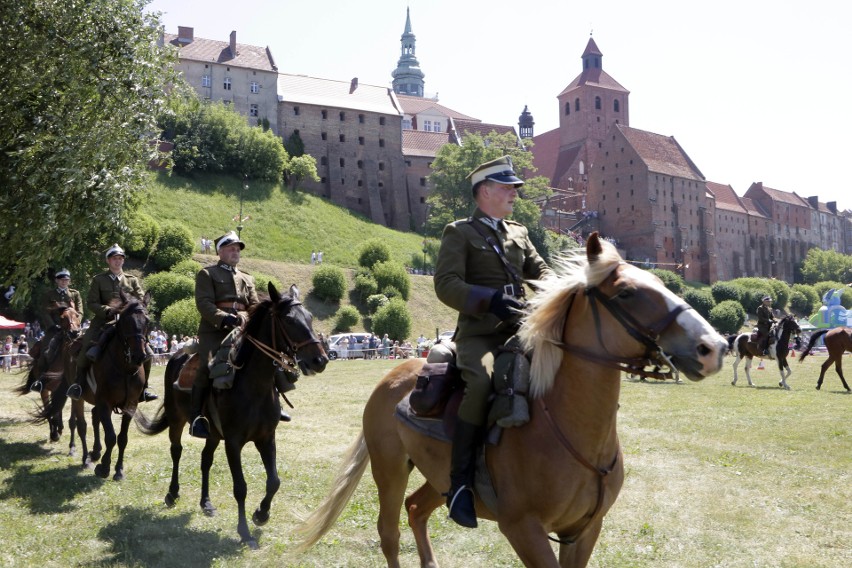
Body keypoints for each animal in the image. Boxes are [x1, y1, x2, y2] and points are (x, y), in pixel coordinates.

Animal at [138, 284, 328, 552]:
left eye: (310, 318)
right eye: (289, 320)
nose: (320, 360)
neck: (253, 386)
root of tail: (176, 356)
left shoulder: (266, 438)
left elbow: (274, 481)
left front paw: (261, 514)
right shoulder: (233, 442)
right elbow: (240, 487)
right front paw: (245, 532)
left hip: (213, 434)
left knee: (205, 459)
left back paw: (206, 503)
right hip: (177, 420)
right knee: (176, 451)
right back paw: (172, 493)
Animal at [292, 233, 724, 564]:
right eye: (627, 292)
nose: (712, 347)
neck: (566, 427)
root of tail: (391, 377)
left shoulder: (584, 531)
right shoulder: (524, 530)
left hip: (439, 477)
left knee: (416, 509)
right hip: (390, 468)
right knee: (389, 534)